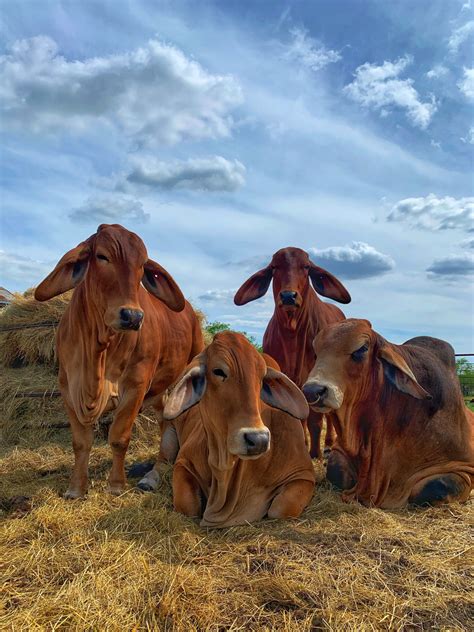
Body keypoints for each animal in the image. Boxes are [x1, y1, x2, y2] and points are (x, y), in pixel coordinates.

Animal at [34, 222, 202, 498]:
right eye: (102, 256)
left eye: (142, 265)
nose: (132, 316)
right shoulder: (68, 387)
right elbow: (80, 442)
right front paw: (75, 488)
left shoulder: (135, 387)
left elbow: (119, 438)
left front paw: (115, 485)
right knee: (165, 424)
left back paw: (154, 473)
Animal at [160, 330, 314, 528]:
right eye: (218, 371)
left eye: (262, 377)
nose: (258, 440)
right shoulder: (183, 462)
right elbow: (188, 505)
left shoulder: (304, 474)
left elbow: (281, 509)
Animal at [234, 247, 352, 460]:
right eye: (274, 267)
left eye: (306, 267)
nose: (288, 296)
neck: (292, 334)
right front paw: (301, 445)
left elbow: (315, 419)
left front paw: (314, 453)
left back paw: (328, 445)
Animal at [302, 320, 472, 508]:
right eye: (316, 352)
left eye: (362, 349)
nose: (312, 391)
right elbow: (336, 471)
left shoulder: (464, 467)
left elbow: (437, 487)